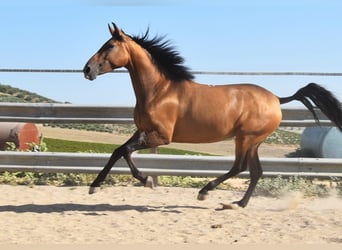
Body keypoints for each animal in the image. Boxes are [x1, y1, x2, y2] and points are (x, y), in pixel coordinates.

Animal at [83, 23, 342, 208]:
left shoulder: (162, 136)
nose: (87, 70)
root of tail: (277, 99)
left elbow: (126, 151)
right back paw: (239, 203)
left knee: (240, 167)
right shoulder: (143, 131)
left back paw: (205, 192)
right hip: (253, 142)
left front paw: (146, 180)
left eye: (109, 46)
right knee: (255, 171)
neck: (159, 90)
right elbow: (117, 151)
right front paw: (95, 186)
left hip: (246, 138)